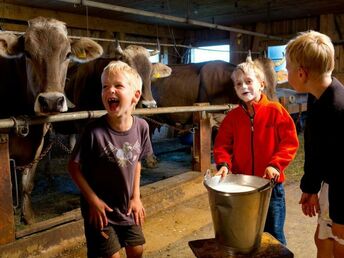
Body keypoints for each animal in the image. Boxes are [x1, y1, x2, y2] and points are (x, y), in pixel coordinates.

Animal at [0, 16, 103, 224]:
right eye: (27, 53)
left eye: (68, 54)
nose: (52, 101)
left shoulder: (38, 141)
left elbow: (27, 183)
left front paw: (28, 217)